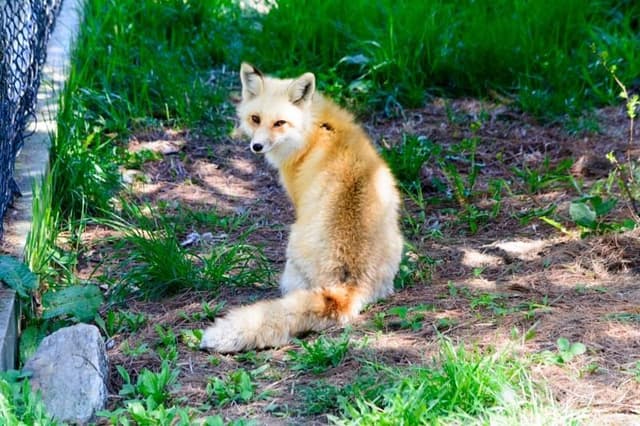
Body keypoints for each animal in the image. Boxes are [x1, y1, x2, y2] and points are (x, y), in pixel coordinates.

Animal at [199, 63, 403, 353]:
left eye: (280, 123)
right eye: (255, 118)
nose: (256, 146)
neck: (313, 129)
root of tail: (347, 286)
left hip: (292, 247)